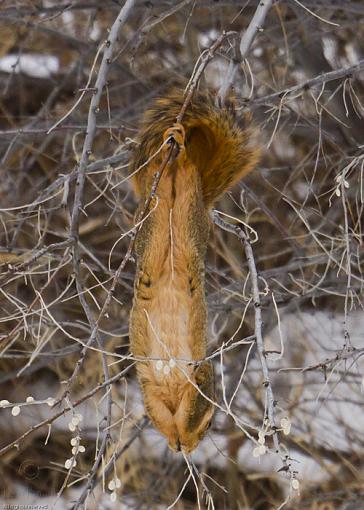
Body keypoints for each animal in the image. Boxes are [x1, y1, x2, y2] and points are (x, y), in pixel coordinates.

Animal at [129, 89, 260, 452]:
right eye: (210, 424)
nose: (189, 447)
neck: (172, 385)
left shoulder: (166, 391)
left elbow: (170, 417)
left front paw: (178, 439)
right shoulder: (177, 387)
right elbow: (177, 417)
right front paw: (180, 437)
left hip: (168, 223)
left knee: (174, 179)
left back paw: (174, 149)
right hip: (168, 223)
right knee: (178, 173)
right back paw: (178, 151)